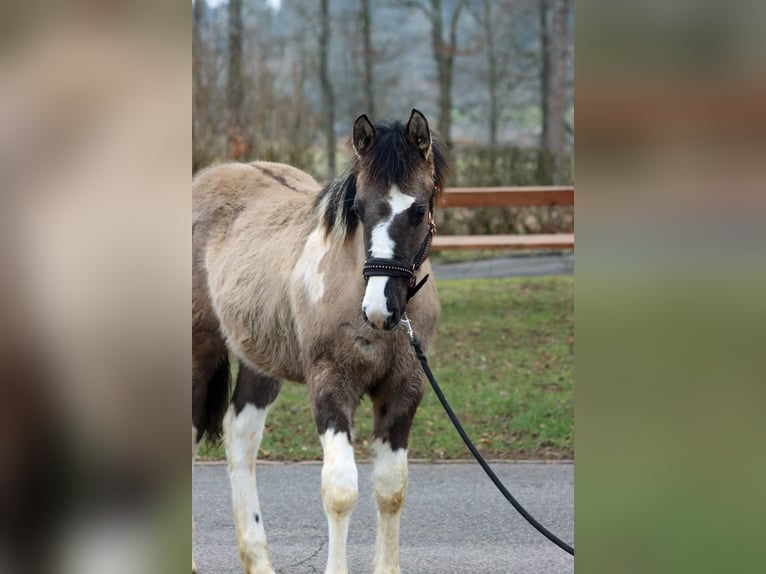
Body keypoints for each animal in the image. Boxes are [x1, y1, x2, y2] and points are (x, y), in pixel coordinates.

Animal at [192, 109, 449, 574]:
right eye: (359, 208)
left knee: (240, 437)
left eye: (419, 210)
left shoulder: (404, 390)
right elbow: (341, 490)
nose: (381, 308)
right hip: (198, 352)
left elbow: (391, 488)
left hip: (259, 363)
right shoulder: (331, 385)